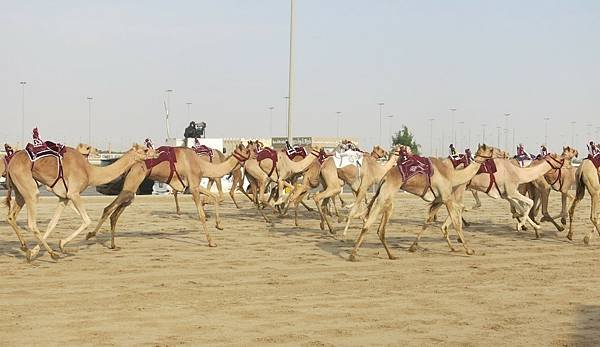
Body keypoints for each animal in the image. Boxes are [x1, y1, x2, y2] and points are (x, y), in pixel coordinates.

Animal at [4, 144, 155, 260]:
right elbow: (87, 220)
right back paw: (52, 254)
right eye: (145, 149)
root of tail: (10, 163)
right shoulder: (74, 193)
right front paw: (62, 245)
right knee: (31, 222)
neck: (90, 172)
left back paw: (25, 247)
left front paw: (34, 252)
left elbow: (52, 224)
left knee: (11, 216)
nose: (156, 152)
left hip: (20, 190)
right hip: (29, 188)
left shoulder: (63, 198)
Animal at [86, 144, 251, 250]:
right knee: (108, 208)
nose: (254, 157)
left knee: (115, 213)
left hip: (131, 189)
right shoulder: (194, 187)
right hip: (133, 182)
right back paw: (90, 235)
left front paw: (219, 225)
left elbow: (215, 197)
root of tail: (131, 163)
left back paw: (113, 245)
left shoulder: (193, 186)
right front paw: (211, 242)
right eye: (249, 150)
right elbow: (202, 215)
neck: (202, 164)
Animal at [346, 143, 506, 260]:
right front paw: (469, 250)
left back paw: (390, 255)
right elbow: (456, 223)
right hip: (385, 196)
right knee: (369, 225)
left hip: (387, 199)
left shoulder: (438, 199)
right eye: (492, 149)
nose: (504, 153)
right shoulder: (446, 197)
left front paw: (413, 247)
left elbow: (427, 221)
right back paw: (354, 255)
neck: (452, 175)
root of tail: (385, 177)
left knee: (379, 228)